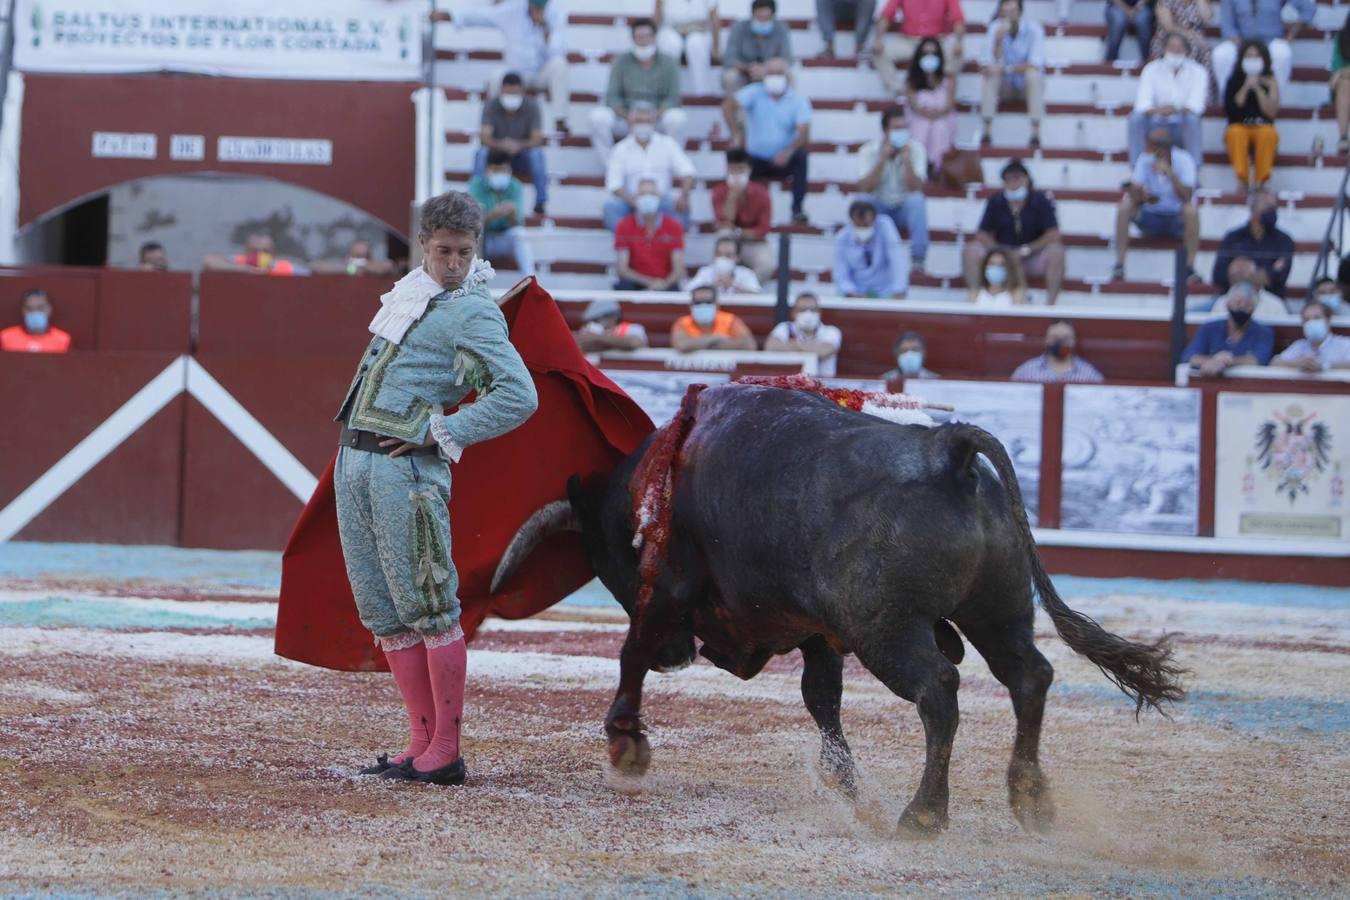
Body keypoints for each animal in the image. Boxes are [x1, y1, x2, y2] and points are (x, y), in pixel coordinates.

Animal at [488, 383, 1182, 836]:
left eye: (610, 564)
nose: (677, 656)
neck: (660, 480)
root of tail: (946, 451)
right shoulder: (817, 631)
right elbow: (821, 699)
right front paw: (846, 786)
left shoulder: (672, 588)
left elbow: (629, 650)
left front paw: (627, 745)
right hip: (998, 611)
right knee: (1028, 677)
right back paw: (1031, 800)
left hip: (887, 632)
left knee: (939, 689)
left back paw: (923, 814)